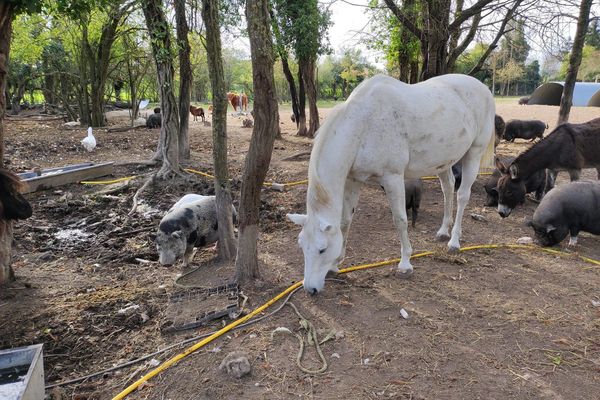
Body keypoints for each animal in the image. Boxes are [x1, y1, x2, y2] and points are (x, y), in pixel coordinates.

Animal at [288, 74, 494, 294]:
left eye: (322, 249)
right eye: (302, 246)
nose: (310, 288)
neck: (363, 124)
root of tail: (483, 88)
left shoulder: (392, 178)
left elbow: (400, 220)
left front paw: (405, 264)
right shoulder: (354, 180)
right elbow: (345, 221)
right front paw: (336, 264)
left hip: (474, 153)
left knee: (462, 195)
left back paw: (454, 241)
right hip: (444, 161)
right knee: (448, 188)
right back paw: (443, 231)